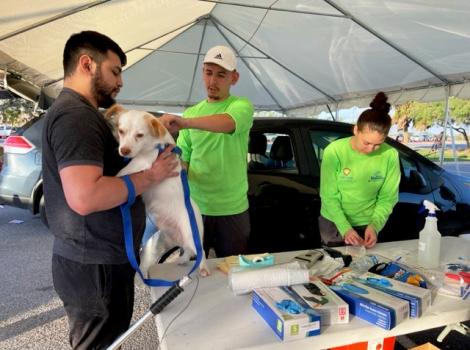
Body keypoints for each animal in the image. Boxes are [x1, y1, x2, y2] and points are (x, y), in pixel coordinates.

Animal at [105, 104, 210, 276]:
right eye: (121, 131)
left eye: (139, 135)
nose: (124, 151)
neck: (154, 144)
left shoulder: (142, 162)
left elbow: (122, 172)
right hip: (171, 237)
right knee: (187, 250)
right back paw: (182, 260)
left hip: (190, 233)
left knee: (200, 252)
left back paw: (203, 268)